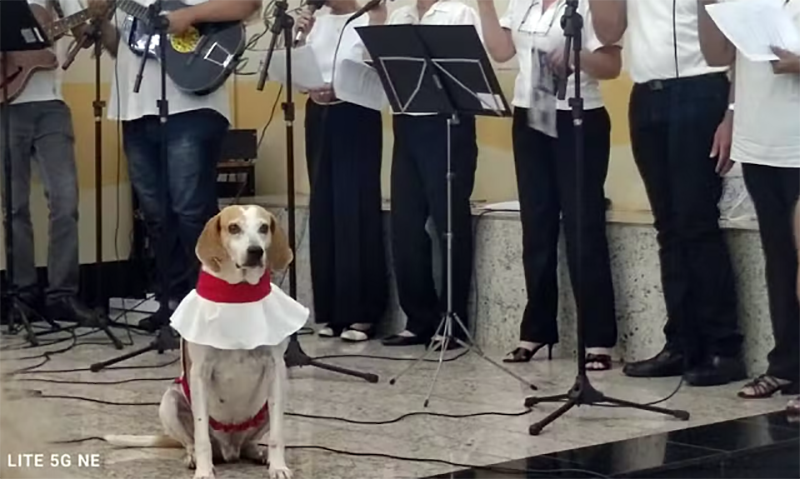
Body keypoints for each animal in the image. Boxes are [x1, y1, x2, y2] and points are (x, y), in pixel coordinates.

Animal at [106, 206, 306, 479]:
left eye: (264, 227)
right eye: (234, 228)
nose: (256, 251)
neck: (239, 295)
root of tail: (230, 451)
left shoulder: (276, 370)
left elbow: (277, 435)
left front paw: (278, 466)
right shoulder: (200, 373)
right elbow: (201, 437)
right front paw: (203, 470)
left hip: (267, 405)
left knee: (249, 443)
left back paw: (258, 453)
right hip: (170, 401)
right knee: (191, 441)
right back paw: (193, 457)